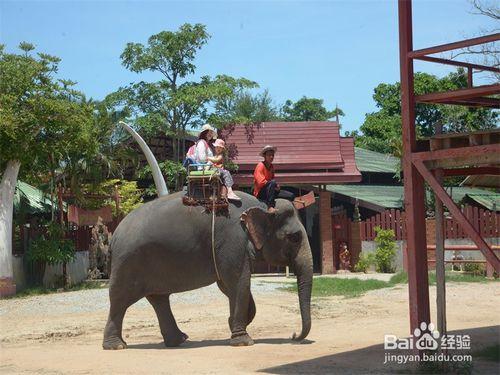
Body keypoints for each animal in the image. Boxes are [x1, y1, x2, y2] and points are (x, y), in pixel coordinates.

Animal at [102, 123, 312, 350]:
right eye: (294, 237)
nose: (294, 335)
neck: (262, 206)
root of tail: (114, 235)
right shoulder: (232, 241)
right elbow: (238, 283)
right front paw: (243, 341)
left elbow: (229, 285)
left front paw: (234, 323)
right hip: (127, 261)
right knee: (120, 299)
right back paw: (116, 346)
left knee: (158, 298)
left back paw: (178, 340)